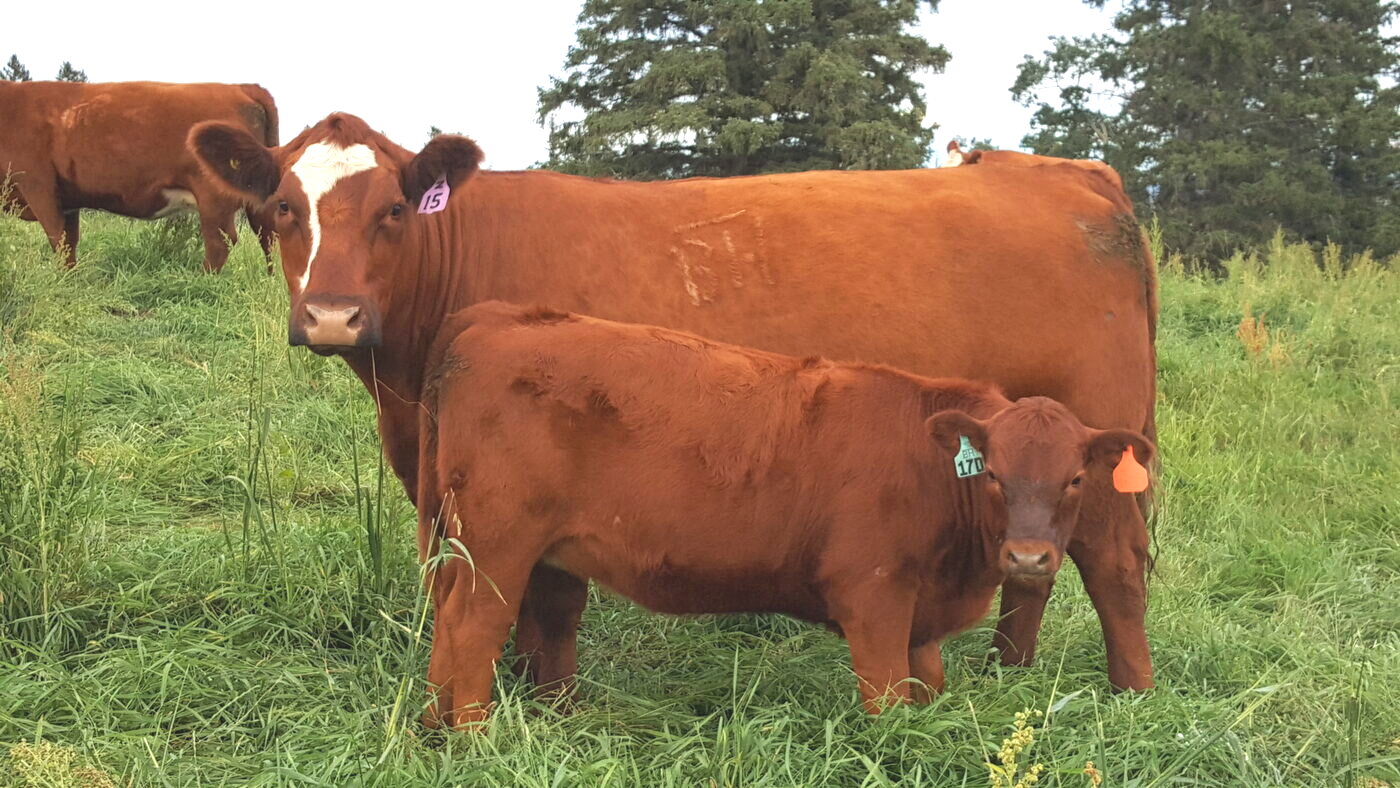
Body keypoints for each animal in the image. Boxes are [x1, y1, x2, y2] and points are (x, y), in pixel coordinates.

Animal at [0, 81, 279, 270]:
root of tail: (240, 87)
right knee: (269, 237)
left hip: (214, 199)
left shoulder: (38, 185)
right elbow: (70, 243)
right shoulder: (67, 200)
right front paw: (70, 278)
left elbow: (57, 238)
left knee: (220, 242)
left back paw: (202, 280)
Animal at [416, 301, 1155, 727]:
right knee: (472, 629)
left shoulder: (920, 615)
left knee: (477, 625)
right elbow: (887, 702)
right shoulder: (872, 596)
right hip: (499, 544)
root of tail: (497, 317)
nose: (1027, 557)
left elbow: (928, 689)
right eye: (995, 474)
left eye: (1074, 479)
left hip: (510, 550)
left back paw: (444, 727)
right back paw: (472, 737)